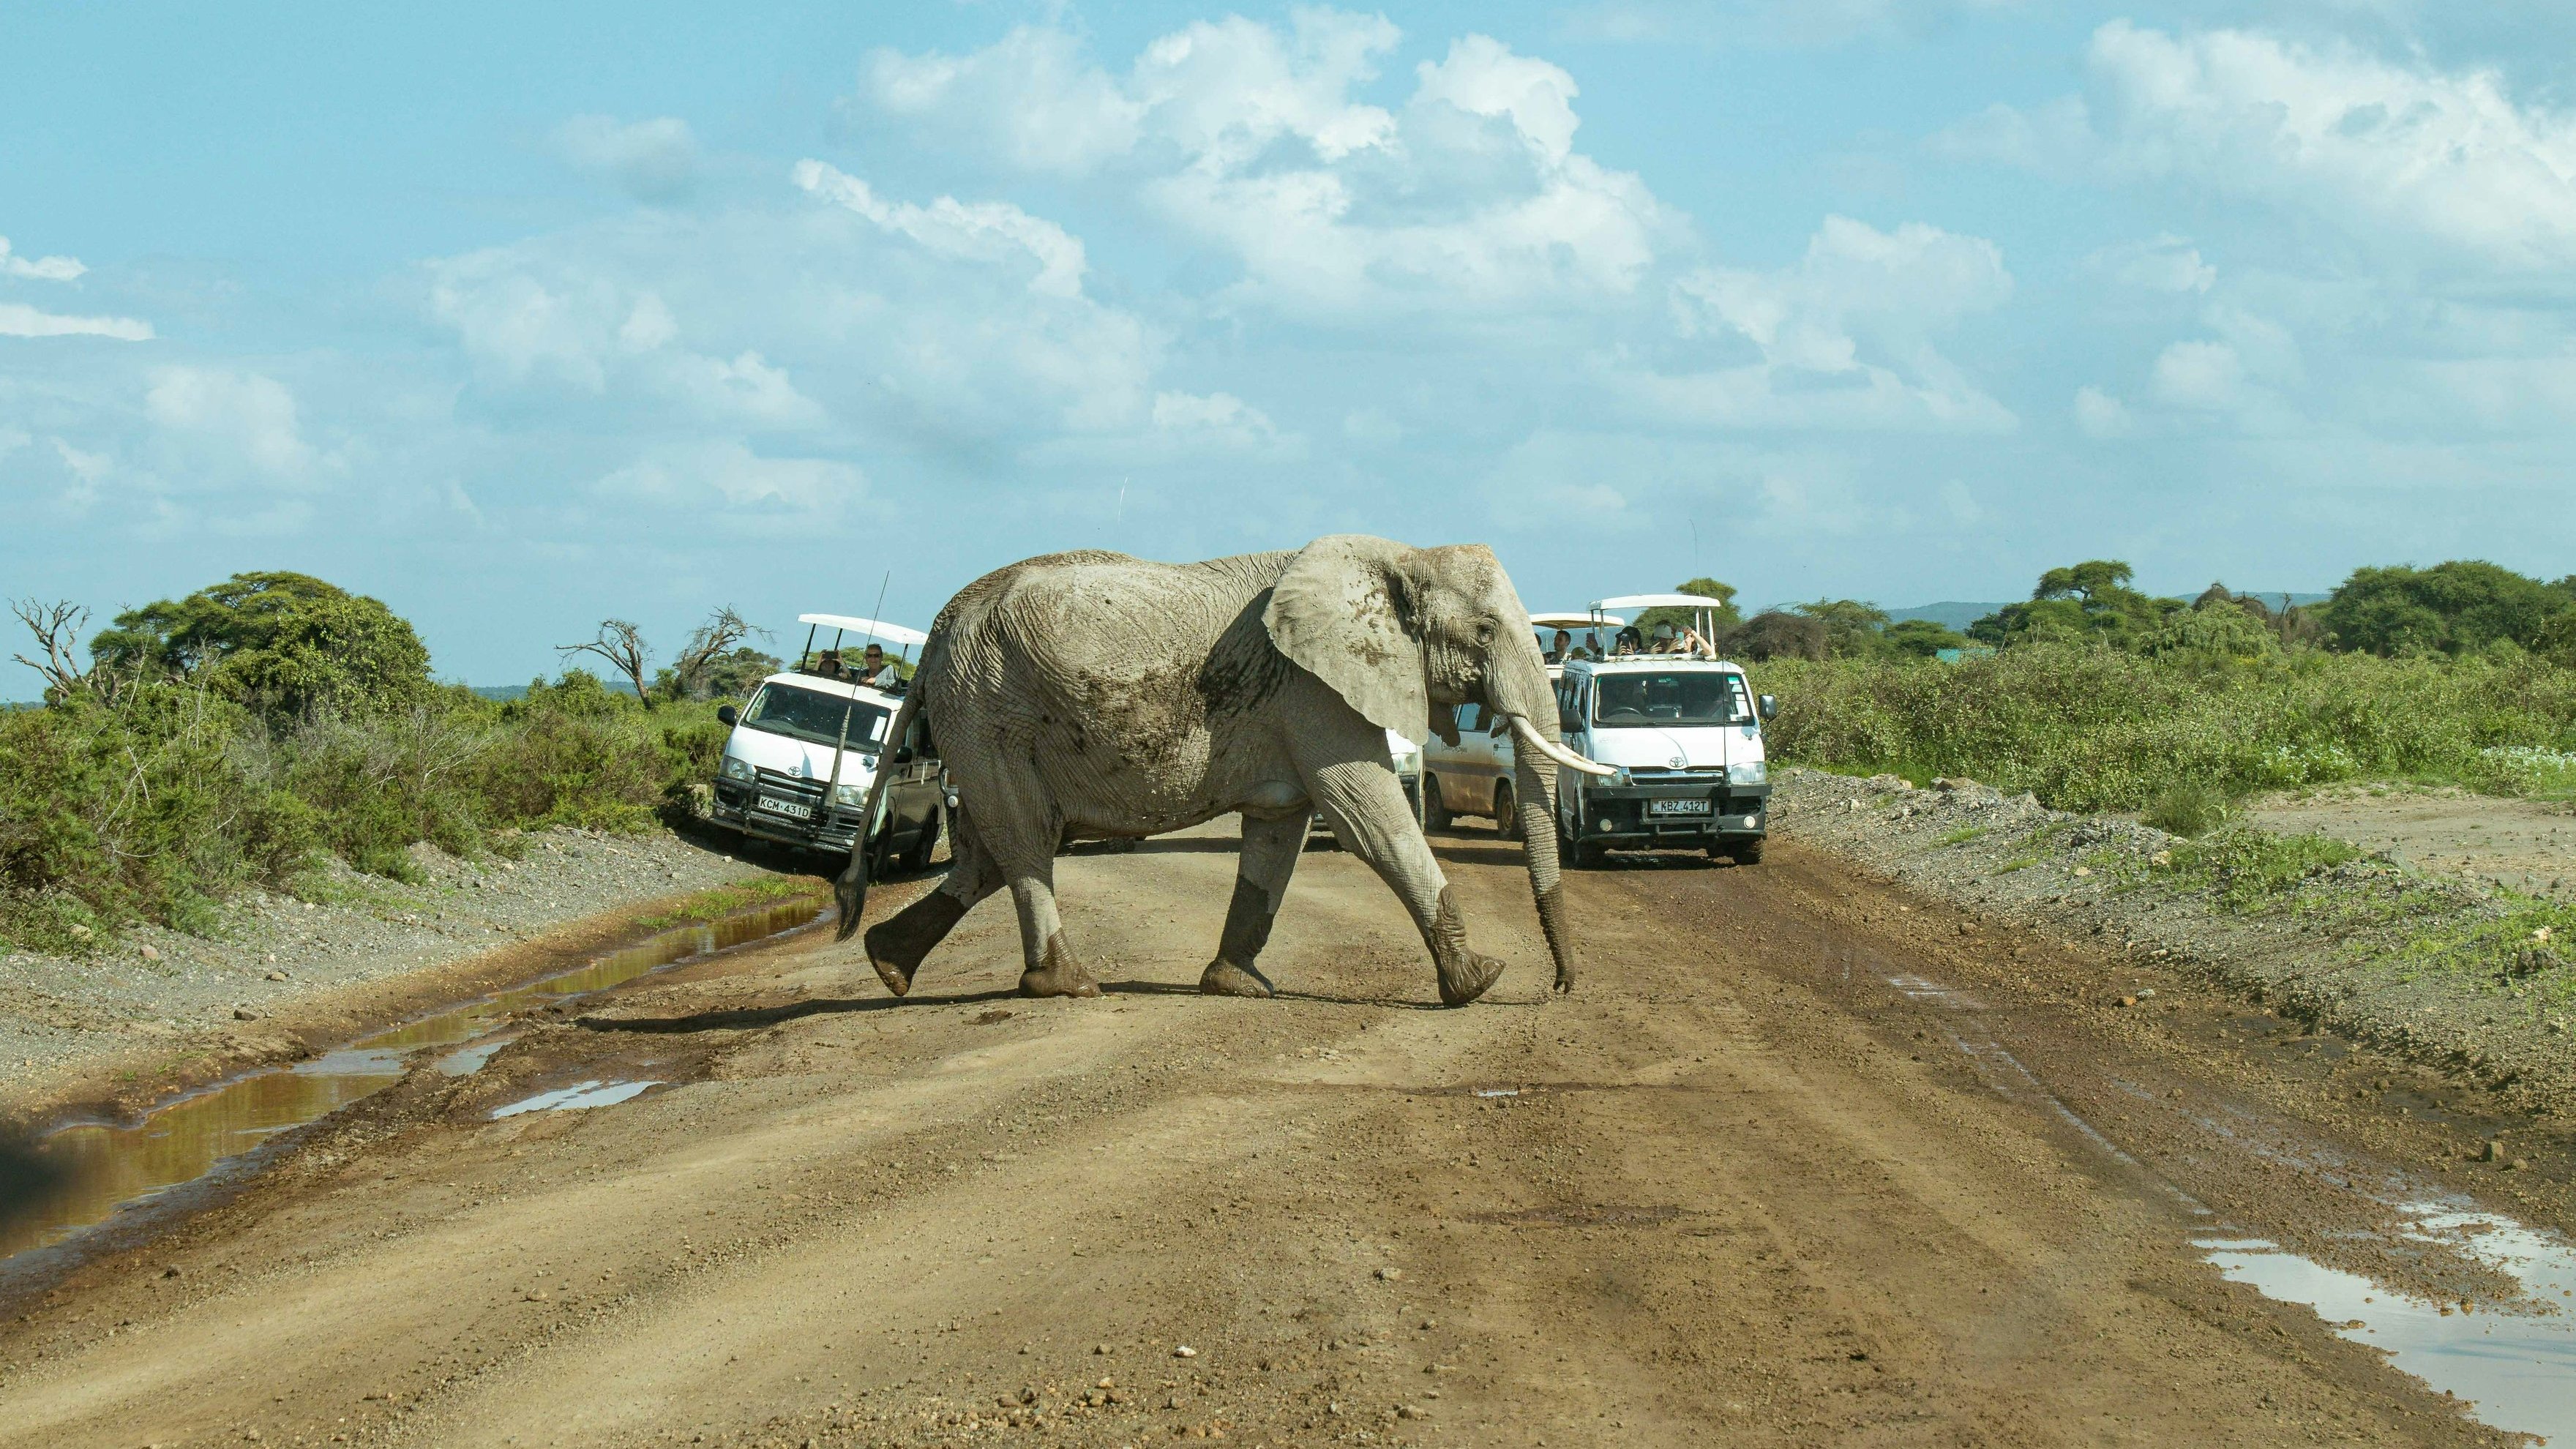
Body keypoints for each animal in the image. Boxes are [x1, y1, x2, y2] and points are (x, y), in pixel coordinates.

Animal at [831, 535, 1612, 1006]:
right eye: (1485, 631)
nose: (1560, 988)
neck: (1396, 556)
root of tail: (940, 626)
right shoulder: (1314, 694)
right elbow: (1371, 821)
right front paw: (1479, 983)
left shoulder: (1296, 706)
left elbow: (1276, 837)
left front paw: (1236, 985)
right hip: (989, 709)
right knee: (1024, 841)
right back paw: (1070, 986)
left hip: (980, 717)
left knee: (991, 853)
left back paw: (887, 965)